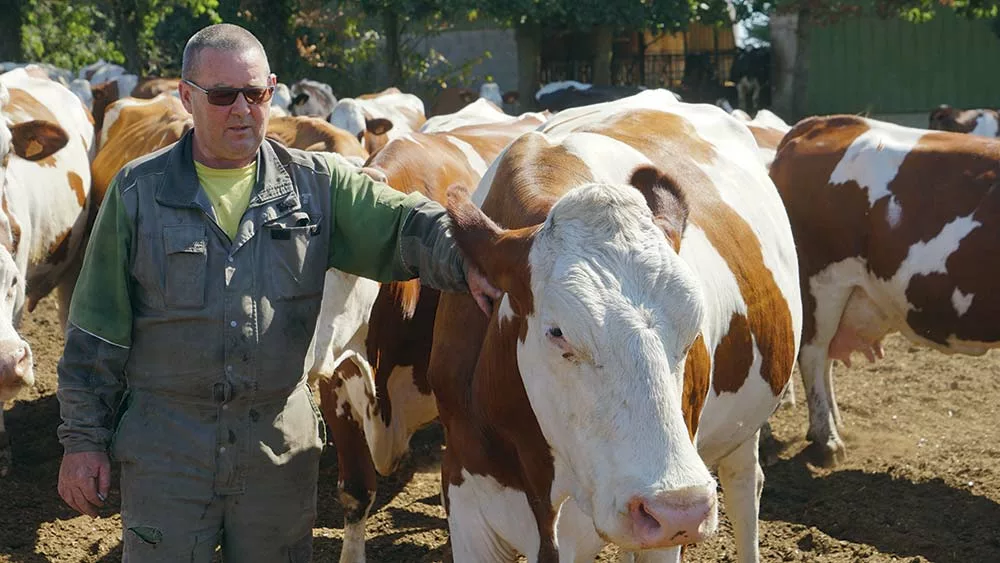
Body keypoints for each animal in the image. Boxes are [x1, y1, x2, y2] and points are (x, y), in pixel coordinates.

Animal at [426, 90, 800, 560]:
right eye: (558, 333)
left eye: (692, 329)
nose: (680, 507)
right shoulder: (467, 506)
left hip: (742, 432)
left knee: (743, 489)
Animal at [768, 114, 1000, 468]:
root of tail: (824, 123)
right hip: (823, 282)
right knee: (813, 354)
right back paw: (827, 439)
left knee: (825, 359)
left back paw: (835, 424)